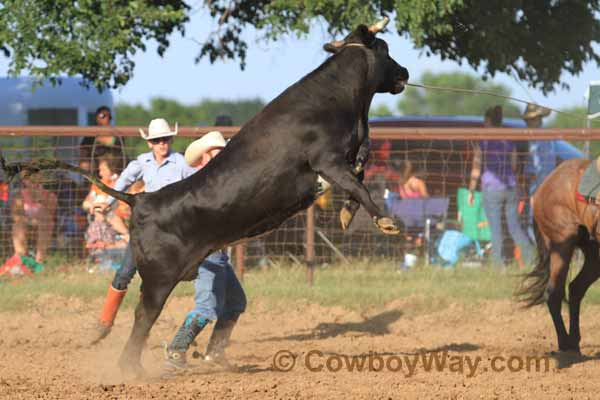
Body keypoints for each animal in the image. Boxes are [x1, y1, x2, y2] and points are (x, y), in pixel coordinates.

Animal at [2, 18, 408, 376]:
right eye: (385, 48)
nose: (404, 72)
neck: (334, 97)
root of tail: (142, 200)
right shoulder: (326, 159)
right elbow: (359, 184)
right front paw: (387, 221)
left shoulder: (344, 160)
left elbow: (359, 177)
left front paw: (347, 215)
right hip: (159, 278)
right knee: (142, 317)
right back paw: (132, 369)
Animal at [520, 158, 600, 352]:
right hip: (561, 245)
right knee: (554, 293)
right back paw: (565, 343)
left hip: (594, 255)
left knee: (576, 288)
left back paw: (573, 341)